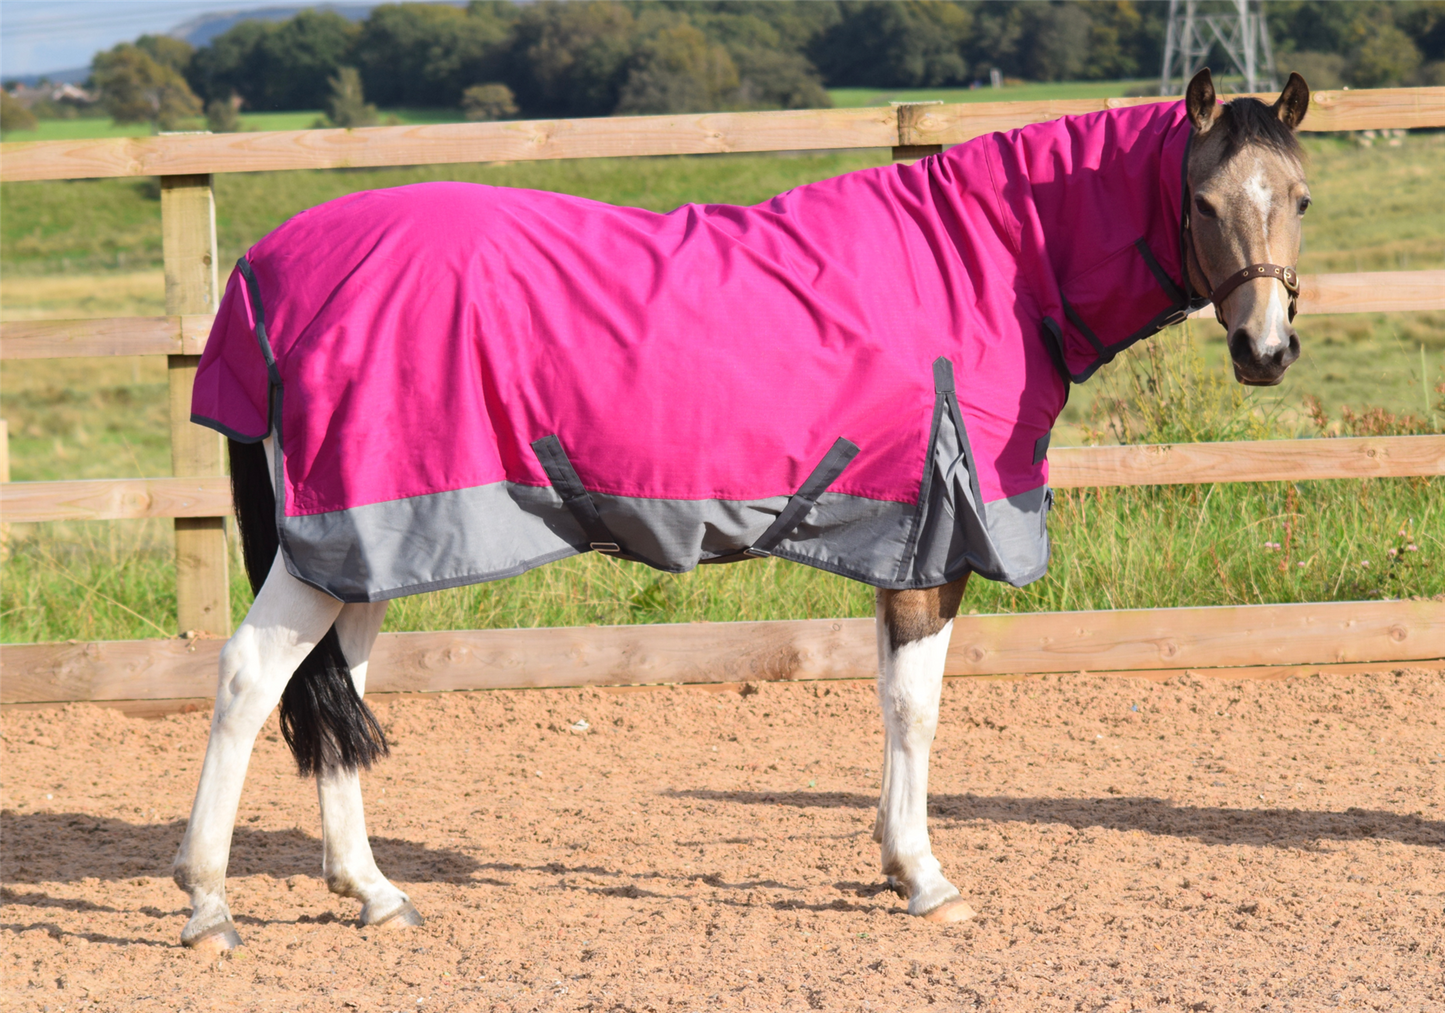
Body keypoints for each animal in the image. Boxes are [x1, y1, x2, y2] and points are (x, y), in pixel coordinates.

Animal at [171, 68, 1311, 951]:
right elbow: (917, 707)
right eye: (1203, 202)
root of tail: (267, 271)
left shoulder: (896, 541)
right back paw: (208, 899)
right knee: (249, 678)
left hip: (364, 544)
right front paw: (924, 877)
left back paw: (371, 891)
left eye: (1296, 196)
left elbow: (889, 699)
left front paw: (893, 861)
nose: (1264, 349)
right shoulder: (935, 542)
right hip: (331, 540)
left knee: (334, 694)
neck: (986, 266)